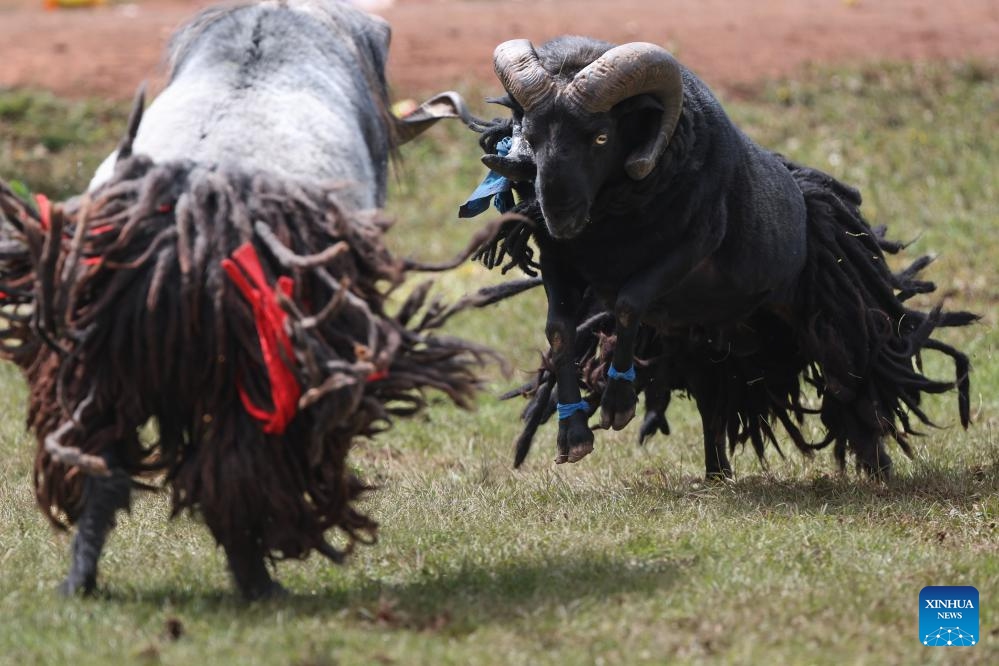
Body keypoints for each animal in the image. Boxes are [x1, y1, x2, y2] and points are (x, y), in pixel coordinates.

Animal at [0, 0, 501, 600]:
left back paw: (82, 581)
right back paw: (259, 583)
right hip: (257, 365)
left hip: (100, 364)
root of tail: (185, 213)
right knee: (240, 470)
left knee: (104, 467)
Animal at [462, 35, 975, 478]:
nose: (559, 213)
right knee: (716, 398)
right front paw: (573, 435)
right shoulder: (557, 260)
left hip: (833, 320)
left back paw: (878, 468)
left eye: (601, 137)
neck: (609, 228)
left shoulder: (693, 246)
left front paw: (617, 404)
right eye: (530, 134)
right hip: (707, 341)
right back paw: (717, 473)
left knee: (853, 384)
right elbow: (560, 331)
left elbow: (627, 303)